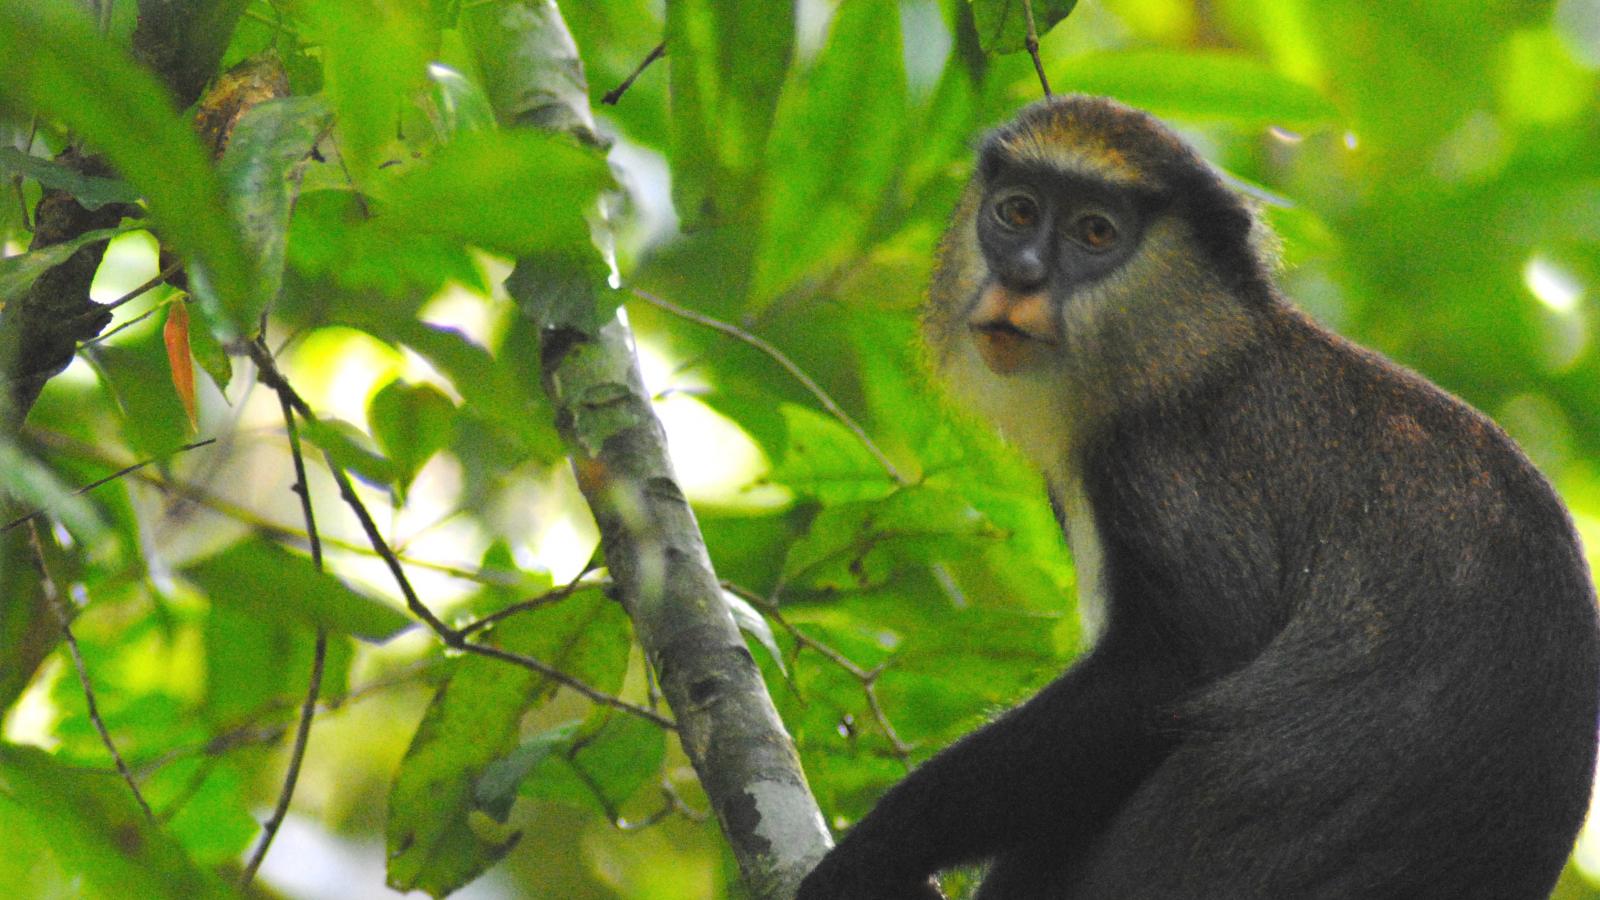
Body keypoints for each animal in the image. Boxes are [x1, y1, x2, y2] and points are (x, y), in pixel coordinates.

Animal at [796, 94, 1600, 890]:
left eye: (1096, 231)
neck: (1199, 351)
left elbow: (1184, 662)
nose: (1021, 273)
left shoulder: (1165, 466)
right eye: (1017, 212)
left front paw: (880, 849)